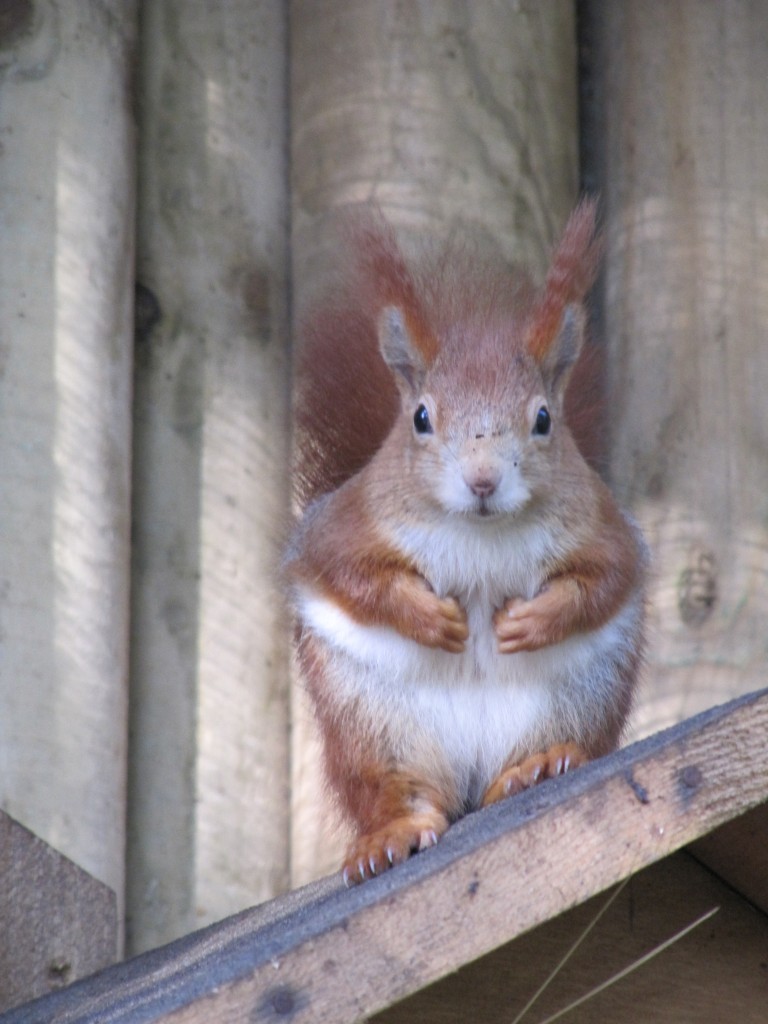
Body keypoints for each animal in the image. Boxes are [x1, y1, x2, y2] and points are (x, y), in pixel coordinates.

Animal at [286, 201, 647, 888]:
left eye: (543, 419)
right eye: (422, 418)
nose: (483, 480)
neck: (479, 530)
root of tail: (471, 778)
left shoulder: (605, 527)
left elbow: (606, 578)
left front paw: (530, 621)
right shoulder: (342, 525)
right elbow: (349, 572)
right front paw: (433, 618)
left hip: (581, 696)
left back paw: (533, 768)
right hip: (370, 717)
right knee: (393, 787)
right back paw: (391, 834)